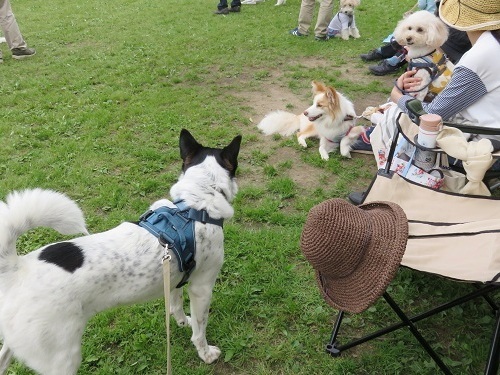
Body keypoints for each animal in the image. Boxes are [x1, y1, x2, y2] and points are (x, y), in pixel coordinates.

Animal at [0, 130, 242, 375]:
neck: (195, 205)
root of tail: (17, 268)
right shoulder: (202, 287)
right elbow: (200, 329)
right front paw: (206, 353)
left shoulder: (176, 278)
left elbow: (175, 305)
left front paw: (183, 322)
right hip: (62, 358)